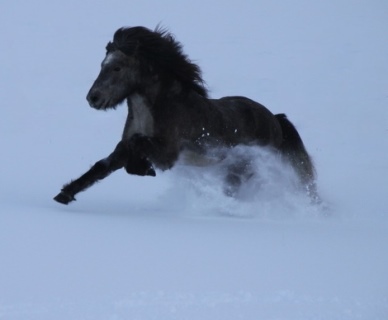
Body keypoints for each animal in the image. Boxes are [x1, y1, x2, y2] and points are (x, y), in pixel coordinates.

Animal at [53, 25, 316, 205]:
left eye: (117, 67)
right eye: (102, 65)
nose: (93, 98)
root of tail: (275, 119)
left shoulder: (168, 154)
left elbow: (137, 146)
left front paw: (145, 169)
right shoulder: (123, 148)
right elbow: (104, 165)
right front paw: (64, 194)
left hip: (242, 168)